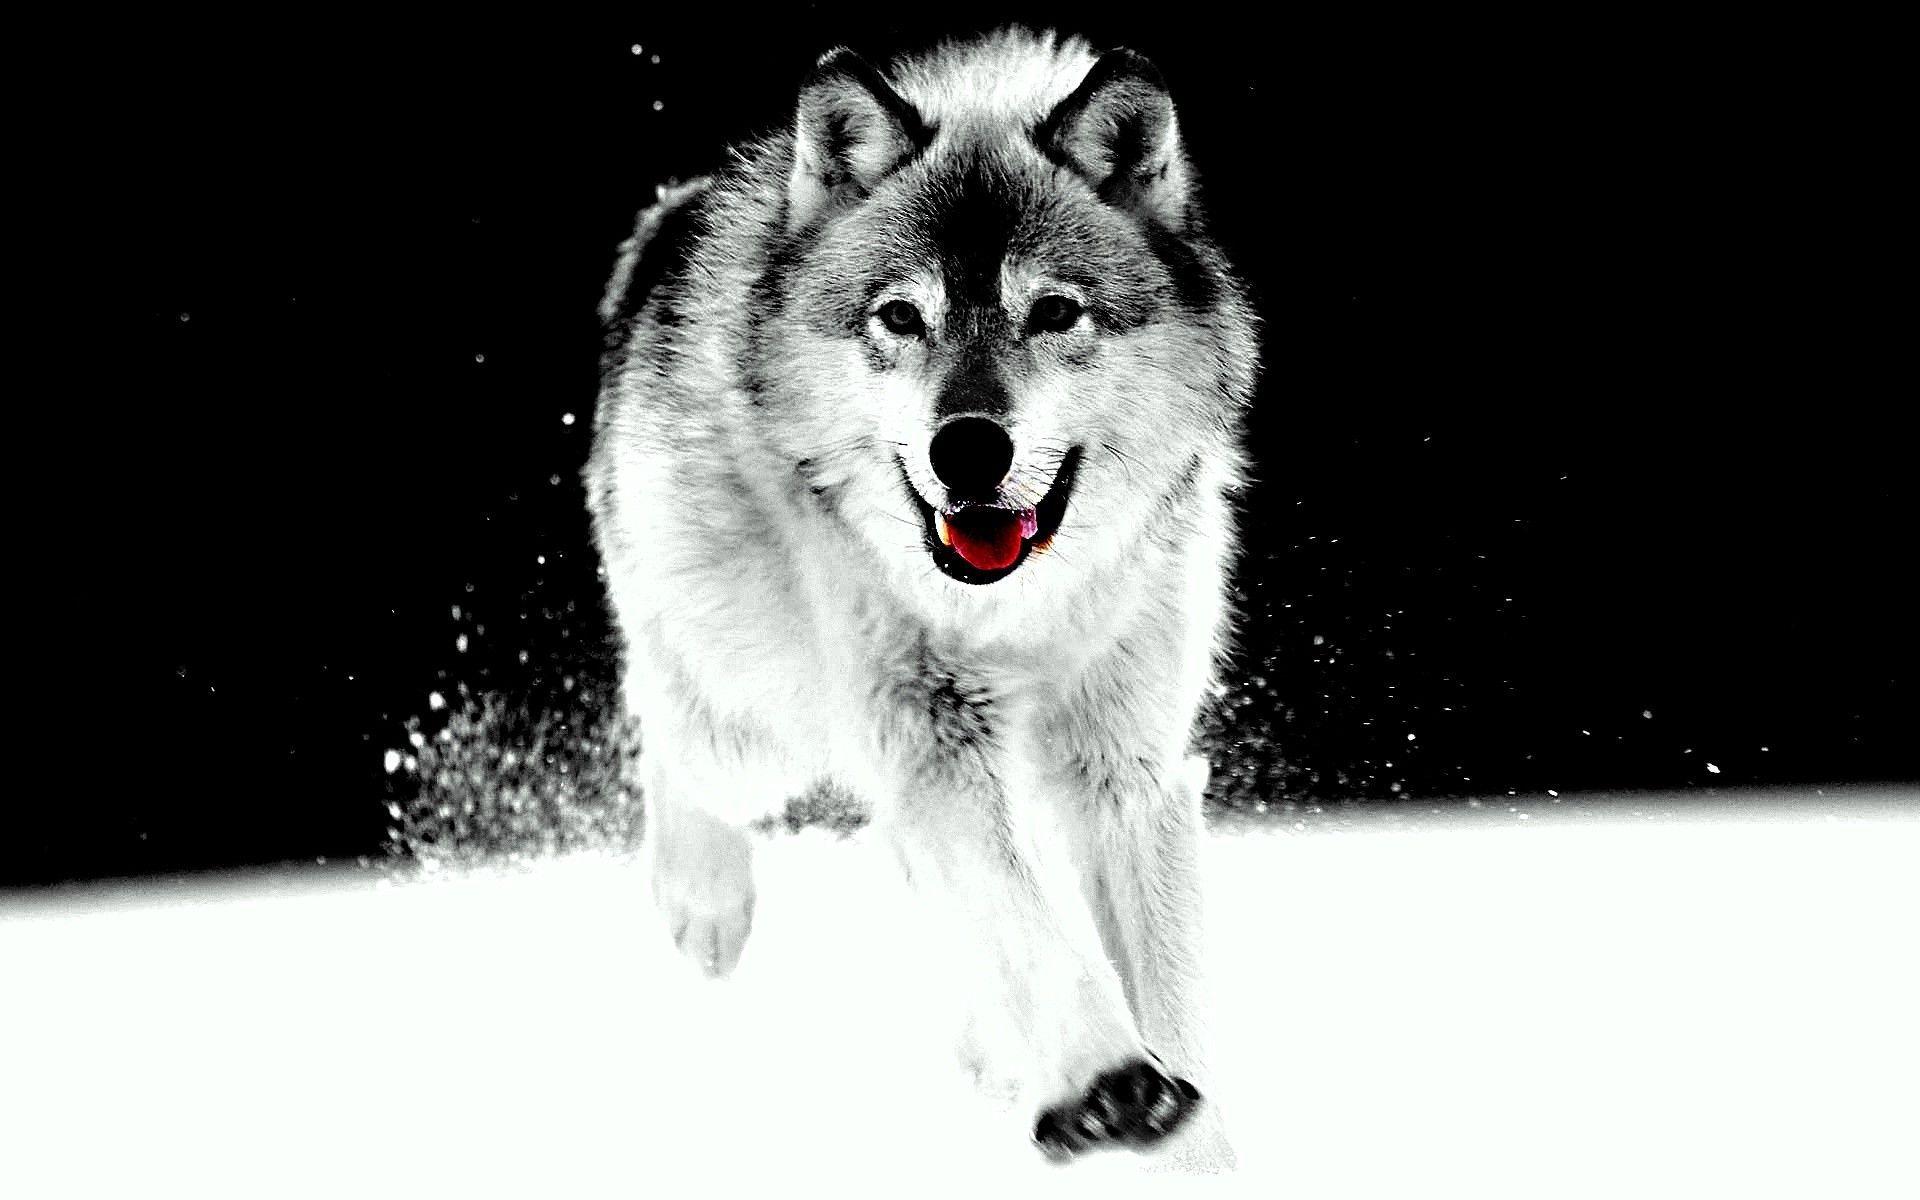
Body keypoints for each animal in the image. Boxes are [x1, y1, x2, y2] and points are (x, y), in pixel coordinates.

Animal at [586, 28, 1258, 1170]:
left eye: (1054, 312)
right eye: (901, 317)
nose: (968, 448)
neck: (1019, 615)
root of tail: (675, 210)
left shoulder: (1128, 772)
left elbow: (1165, 995)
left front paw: (1186, 1148)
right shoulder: (929, 742)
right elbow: (1028, 923)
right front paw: (1110, 1081)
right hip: (753, 731)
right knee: (668, 729)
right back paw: (704, 906)